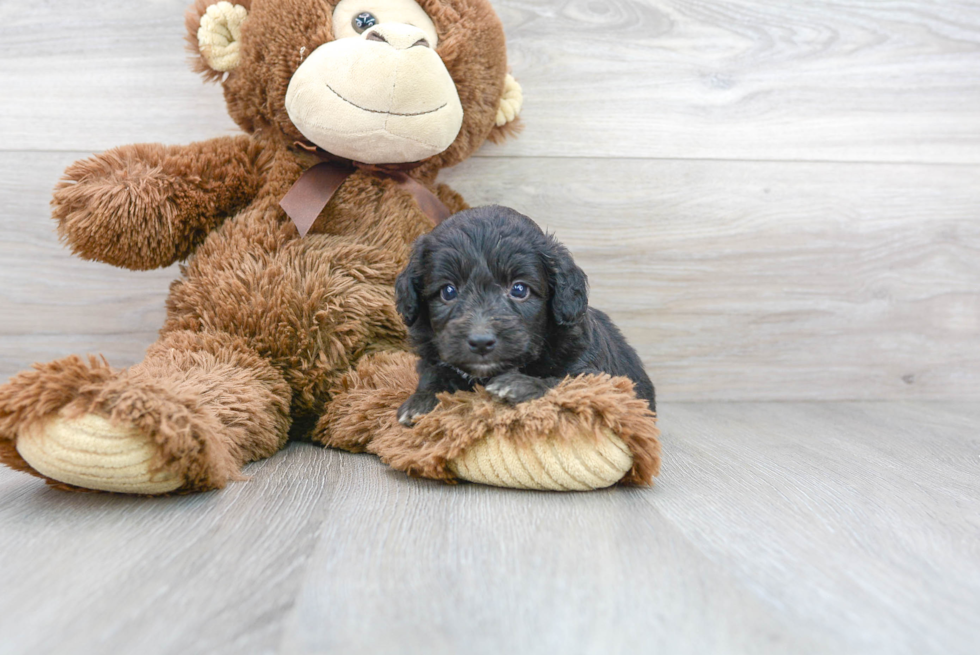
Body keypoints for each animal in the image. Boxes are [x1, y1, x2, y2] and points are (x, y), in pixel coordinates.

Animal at [394, 208, 656, 428]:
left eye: (519, 289)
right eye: (448, 291)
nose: (481, 342)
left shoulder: (601, 379)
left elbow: (566, 382)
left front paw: (521, 384)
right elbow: (434, 374)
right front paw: (421, 401)